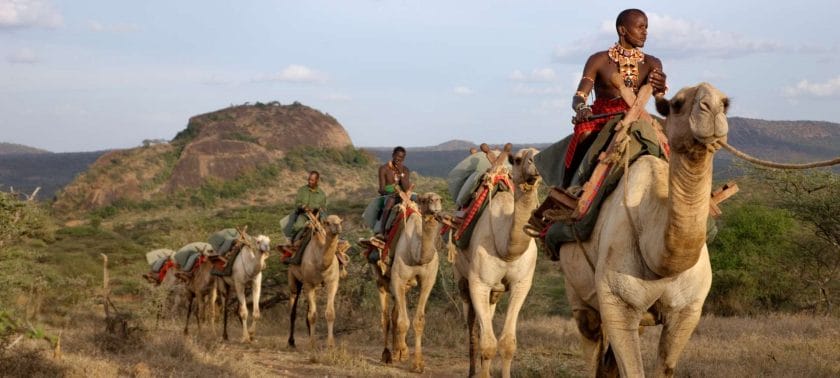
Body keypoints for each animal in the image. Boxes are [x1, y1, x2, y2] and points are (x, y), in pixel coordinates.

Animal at [288, 214, 342, 350]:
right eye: (327, 222)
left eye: (340, 221)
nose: (337, 227)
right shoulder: (308, 283)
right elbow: (312, 315)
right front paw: (312, 344)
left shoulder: (332, 282)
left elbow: (330, 313)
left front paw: (330, 344)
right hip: (293, 278)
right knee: (293, 309)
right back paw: (291, 341)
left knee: (308, 310)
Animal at [370, 192, 442, 372]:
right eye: (424, 200)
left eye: (440, 199)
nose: (436, 202)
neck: (416, 254)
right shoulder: (398, 279)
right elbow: (403, 322)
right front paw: (403, 353)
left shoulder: (428, 281)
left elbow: (418, 321)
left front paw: (418, 364)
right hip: (381, 280)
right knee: (386, 317)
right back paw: (387, 355)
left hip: (405, 286)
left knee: (395, 313)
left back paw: (397, 352)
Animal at [456, 145, 540, 378]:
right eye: (518, 159)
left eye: (538, 153)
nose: (534, 168)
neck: (507, 249)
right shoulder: (479, 283)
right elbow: (487, 345)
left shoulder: (522, 284)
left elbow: (507, 343)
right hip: (462, 279)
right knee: (472, 325)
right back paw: (472, 371)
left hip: (495, 290)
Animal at [560, 83, 732, 378]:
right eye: (677, 103)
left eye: (726, 103)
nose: (711, 108)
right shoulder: (618, 305)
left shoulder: (687, 311)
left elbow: (664, 368)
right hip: (579, 294)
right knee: (590, 338)